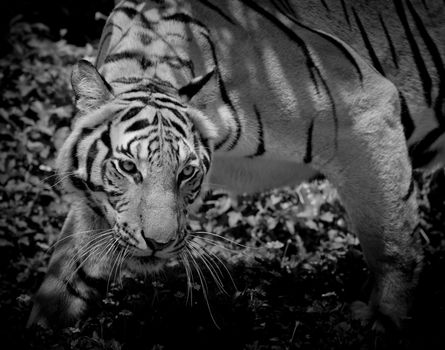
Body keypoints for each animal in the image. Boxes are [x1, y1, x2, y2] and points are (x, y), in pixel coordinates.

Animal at [28, 0, 444, 334]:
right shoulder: (97, 205)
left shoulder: (367, 108)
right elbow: (69, 261)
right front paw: (45, 321)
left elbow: (390, 238)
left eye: (186, 172)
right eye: (129, 168)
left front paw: (382, 319)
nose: (159, 244)